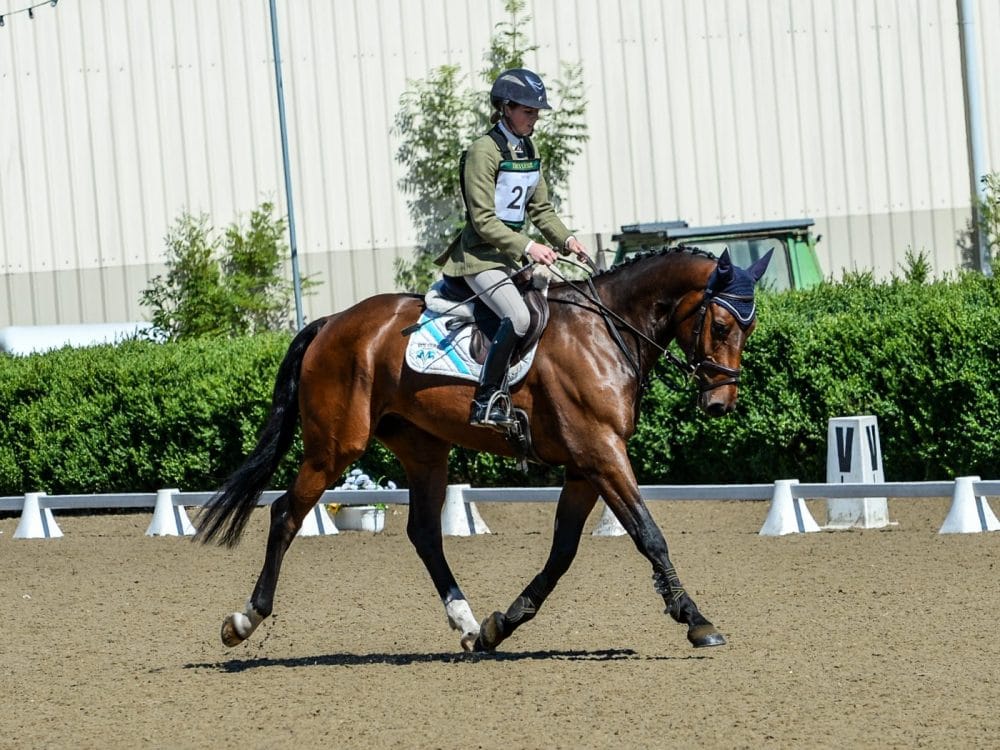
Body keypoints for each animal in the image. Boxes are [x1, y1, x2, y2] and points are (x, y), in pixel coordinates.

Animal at [196, 245, 772, 652]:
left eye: (749, 328)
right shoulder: (601, 452)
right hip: (335, 446)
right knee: (285, 515)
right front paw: (696, 620)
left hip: (423, 449)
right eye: (722, 324)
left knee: (425, 534)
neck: (605, 332)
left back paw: (469, 625)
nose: (720, 402)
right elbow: (649, 535)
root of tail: (329, 323)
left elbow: (562, 552)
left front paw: (502, 624)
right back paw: (243, 620)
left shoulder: (584, 467)